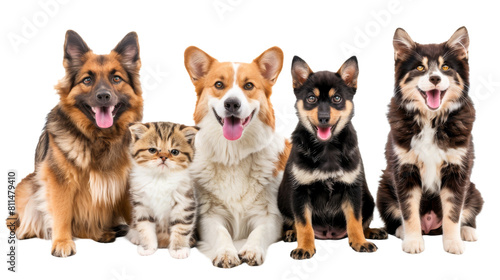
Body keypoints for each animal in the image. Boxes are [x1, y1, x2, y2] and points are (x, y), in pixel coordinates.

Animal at [10, 30, 144, 256]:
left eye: (116, 78)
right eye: (87, 80)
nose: (103, 96)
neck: (99, 138)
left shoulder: (125, 181)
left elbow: (133, 211)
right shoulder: (60, 181)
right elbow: (62, 212)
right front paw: (62, 242)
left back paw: (102, 232)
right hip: (27, 185)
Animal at [126, 122, 200, 258]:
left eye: (174, 152)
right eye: (152, 150)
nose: (164, 157)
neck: (160, 178)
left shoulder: (184, 202)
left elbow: (181, 227)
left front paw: (178, 249)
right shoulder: (142, 205)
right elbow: (145, 227)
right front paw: (147, 247)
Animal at [278, 55, 386, 260]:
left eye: (337, 98)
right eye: (311, 98)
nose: (323, 118)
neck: (326, 148)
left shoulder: (352, 189)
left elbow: (355, 220)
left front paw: (360, 242)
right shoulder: (300, 192)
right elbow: (303, 224)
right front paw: (304, 247)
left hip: (368, 199)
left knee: (363, 222)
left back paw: (372, 232)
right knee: (293, 223)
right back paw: (290, 233)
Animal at [378, 27, 484, 255]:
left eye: (445, 67)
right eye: (420, 67)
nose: (435, 78)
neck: (431, 119)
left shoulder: (458, 171)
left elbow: (453, 212)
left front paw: (453, 243)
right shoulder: (404, 170)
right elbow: (409, 210)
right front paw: (412, 241)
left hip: (474, 191)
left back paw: (467, 231)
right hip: (383, 189)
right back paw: (402, 231)